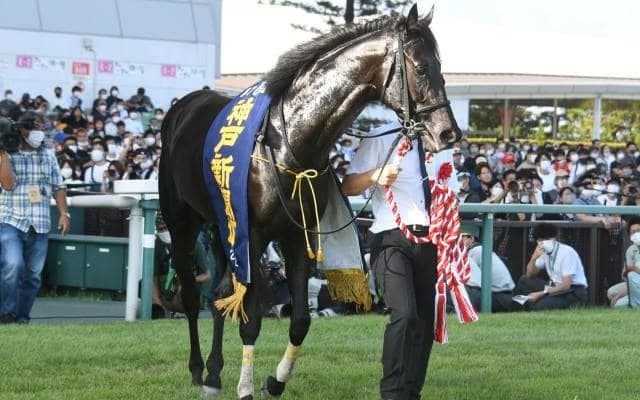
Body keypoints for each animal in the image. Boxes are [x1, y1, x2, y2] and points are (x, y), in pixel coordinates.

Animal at [159, 4, 461, 399]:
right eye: (422, 68)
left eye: (442, 69)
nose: (448, 132)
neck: (289, 144)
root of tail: (183, 106)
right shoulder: (254, 236)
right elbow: (251, 317)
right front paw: (246, 387)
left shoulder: (296, 234)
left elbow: (300, 319)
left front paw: (274, 382)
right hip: (183, 222)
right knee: (194, 298)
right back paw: (199, 370)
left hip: (224, 226)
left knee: (221, 295)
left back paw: (213, 372)